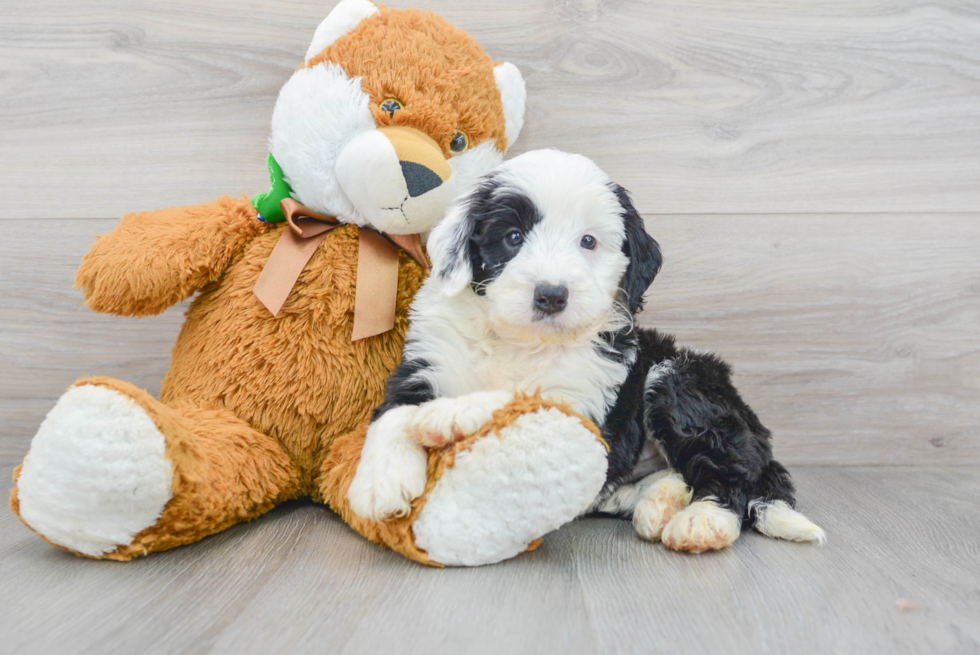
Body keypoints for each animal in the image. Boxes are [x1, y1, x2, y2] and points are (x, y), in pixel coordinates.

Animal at [348, 149, 824, 552]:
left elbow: (526, 395)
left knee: (729, 472)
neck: (519, 341)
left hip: (677, 379)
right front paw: (379, 483)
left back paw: (702, 520)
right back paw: (657, 502)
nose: (551, 295)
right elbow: (392, 413)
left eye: (589, 242)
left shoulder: (584, 404)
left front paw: (446, 415)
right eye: (513, 236)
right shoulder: (426, 359)